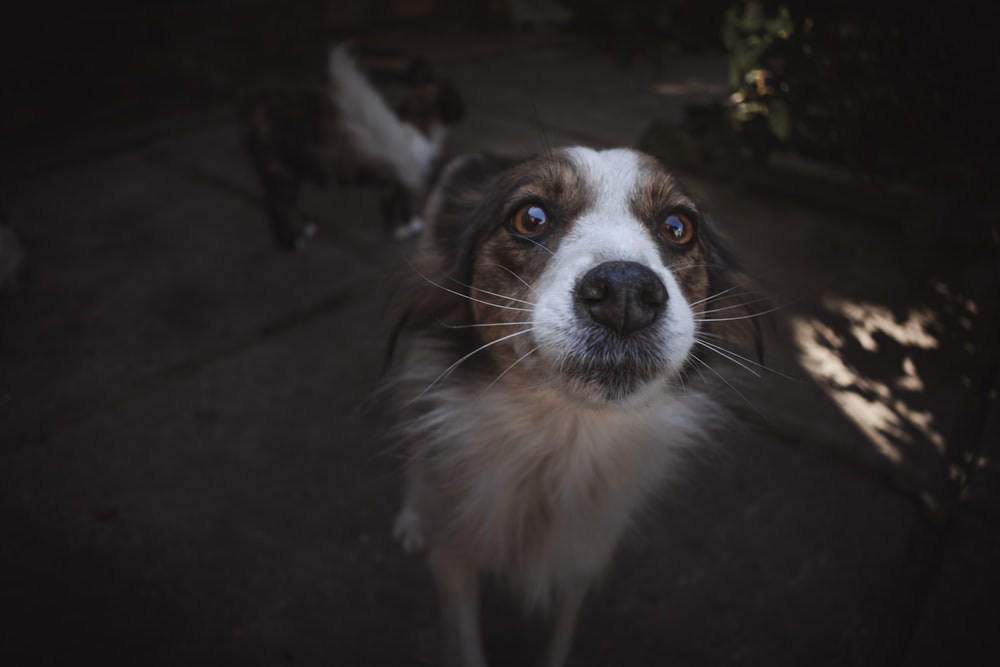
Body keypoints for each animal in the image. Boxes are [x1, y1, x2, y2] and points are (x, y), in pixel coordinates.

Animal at [242, 45, 464, 250]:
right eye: (457, 98)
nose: (465, 108)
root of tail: (255, 110)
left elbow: (401, 203)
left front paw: (410, 224)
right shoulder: (388, 178)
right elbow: (394, 205)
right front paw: (401, 230)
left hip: (291, 171)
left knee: (287, 204)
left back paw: (303, 229)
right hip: (280, 171)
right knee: (277, 206)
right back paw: (291, 242)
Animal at [332, 47, 760, 667]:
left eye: (679, 227)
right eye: (530, 217)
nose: (626, 294)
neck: (561, 438)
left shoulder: (576, 562)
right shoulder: (455, 566)